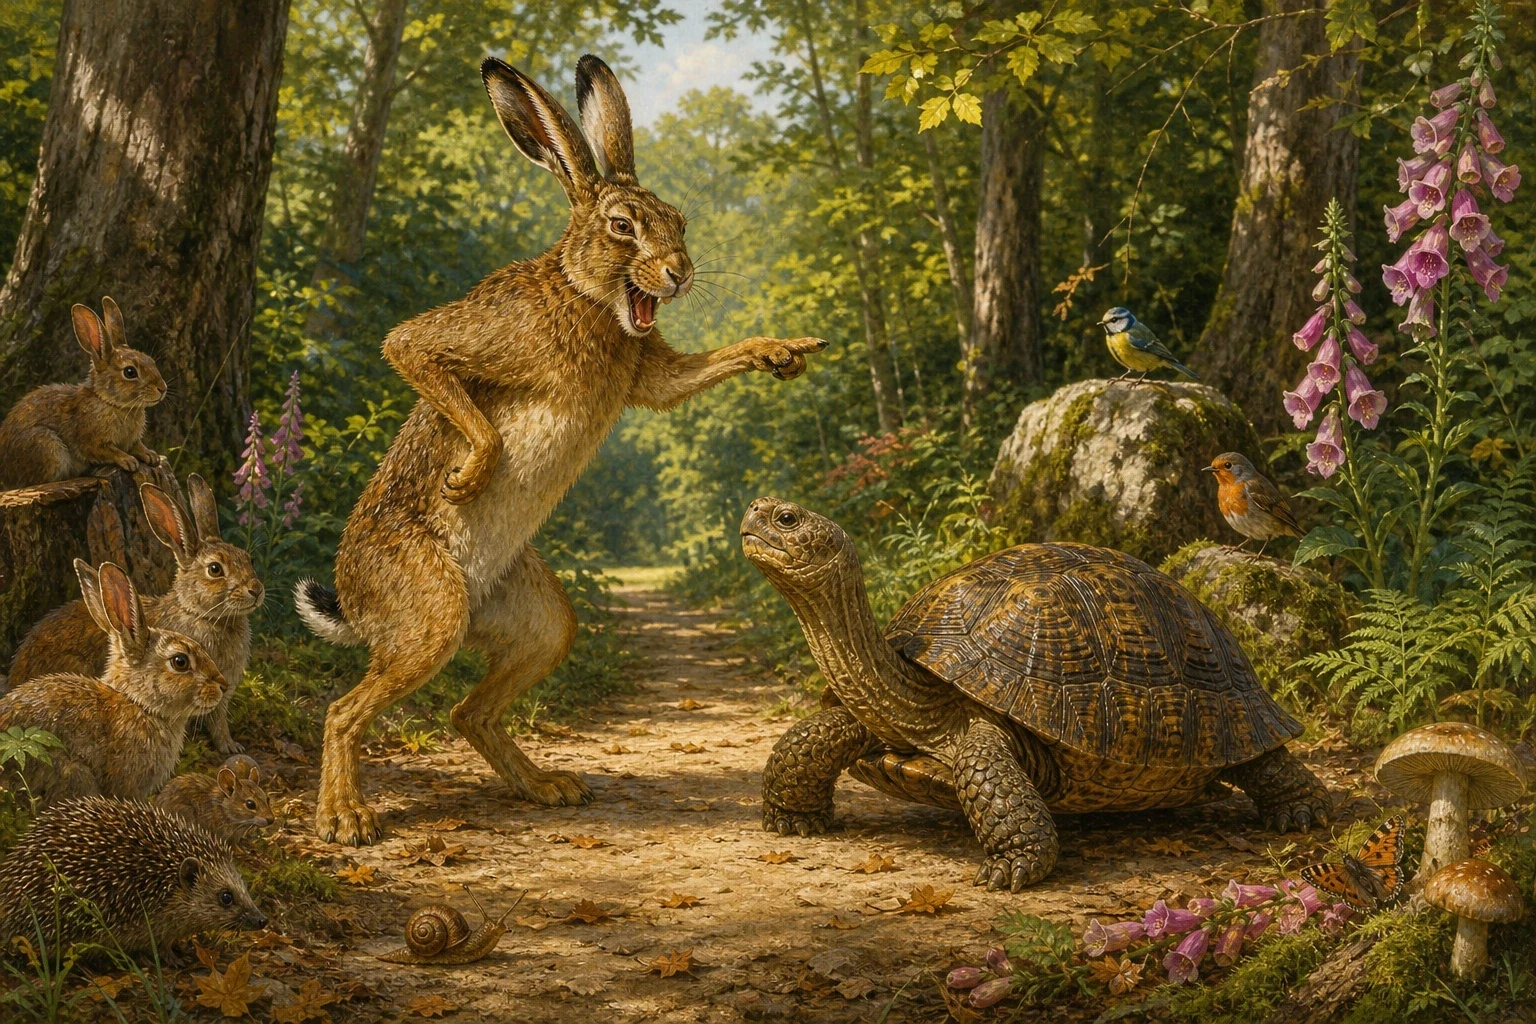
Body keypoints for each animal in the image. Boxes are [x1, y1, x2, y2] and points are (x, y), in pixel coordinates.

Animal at [0, 297, 167, 490]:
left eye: (151, 361)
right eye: (130, 372)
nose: (162, 388)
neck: (109, 402)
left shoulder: (131, 439)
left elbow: (136, 446)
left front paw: (151, 456)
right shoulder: (92, 442)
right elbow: (107, 450)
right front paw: (129, 461)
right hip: (46, 445)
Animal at [7, 475, 263, 754]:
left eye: (249, 559)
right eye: (215, 569)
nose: (256, 590)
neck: (201, 615)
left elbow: (219, 721)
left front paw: (231, 746)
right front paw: (229, 748)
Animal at [291, 54, 825, 846]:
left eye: (679, 221)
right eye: (623, 226)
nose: (680, 274)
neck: (586, 293)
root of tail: (354, 604)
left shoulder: (651, 376)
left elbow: (699, 369)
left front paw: (784, 351)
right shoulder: (456, 337)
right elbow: (414, 351)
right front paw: (466, 475)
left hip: (541, 623)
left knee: (467, 711)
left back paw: (548, 787)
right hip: (429, 618)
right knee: (341, 712)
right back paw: (346, 821)